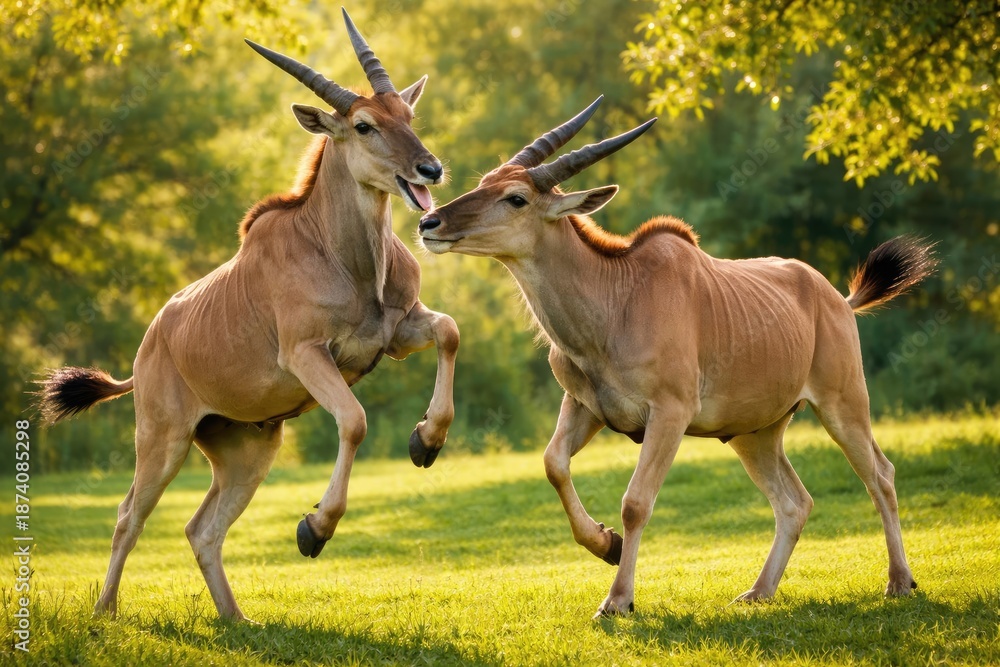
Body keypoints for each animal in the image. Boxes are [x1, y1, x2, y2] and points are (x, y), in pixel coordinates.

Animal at [38, 10, 460, 622]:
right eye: (363, 125)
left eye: (407, 116)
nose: (430, 168)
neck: (342, 255)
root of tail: (145, 351)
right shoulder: (308, 355)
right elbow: (354, 420)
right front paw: (315, 528)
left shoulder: (399, 333)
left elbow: (449, 332)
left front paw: (426, 441)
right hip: (162, 442)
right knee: (128, 517)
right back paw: (105, 612)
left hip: (248, 452)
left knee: (202, 529)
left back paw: (237, 619)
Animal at [418, 97, 935, 618]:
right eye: (484, 182)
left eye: (516, 197)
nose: (429, 223)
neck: (616, 298)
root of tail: (838, 299)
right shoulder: (585, 408)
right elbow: (553, 464)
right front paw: (605, 544)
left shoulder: (670, 413)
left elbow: (636, 502)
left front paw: (618, 599)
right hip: (756, 434)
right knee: (795, 501)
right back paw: (758, 591)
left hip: (842, 406)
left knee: (880, 476)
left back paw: (899, 580)